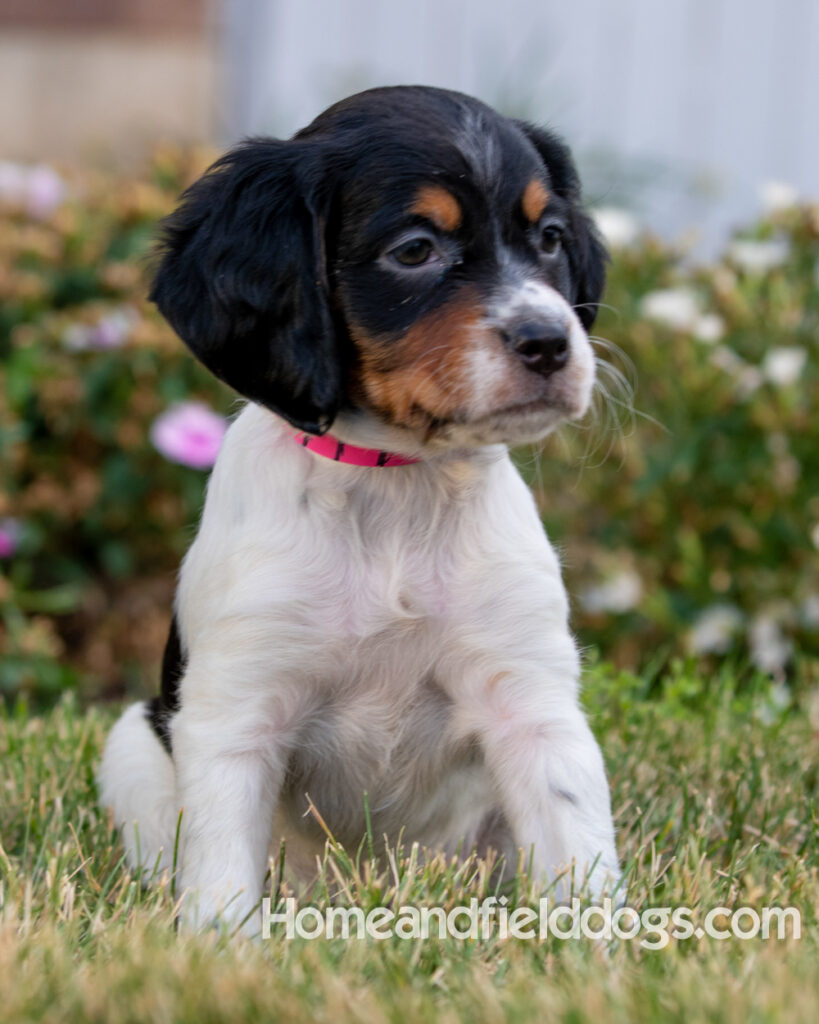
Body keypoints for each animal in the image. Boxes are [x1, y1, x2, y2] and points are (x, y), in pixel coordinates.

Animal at [97, 86, 622, 937]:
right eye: (414, 250)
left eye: (548, 238)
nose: (550, 342)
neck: (395, 489)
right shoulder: (237, 707)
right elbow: (220, 876)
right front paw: (218, 950)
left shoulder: (531, 698)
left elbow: (578, 850)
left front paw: (597, 948)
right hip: (134, 741)